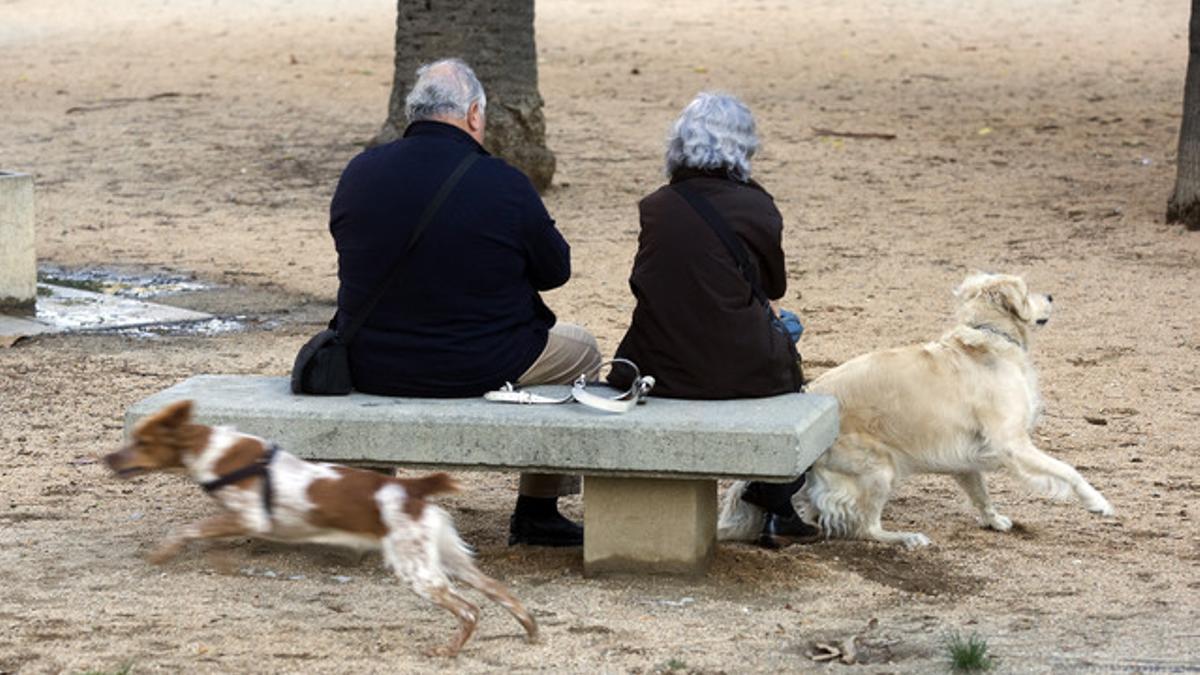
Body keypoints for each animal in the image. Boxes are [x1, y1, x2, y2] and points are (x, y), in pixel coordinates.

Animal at [108, 398, 540, 653]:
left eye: (142, 442)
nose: (107, 459)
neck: (210, 450)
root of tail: (410, 487)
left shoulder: (250, 516)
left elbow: (189, 529)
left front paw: (164, 552)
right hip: (450, 559)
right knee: (502, 592)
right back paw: (531, 630)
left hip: (416, 570)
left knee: (469, 609)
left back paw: (447, 651)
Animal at [710, 271, 1113, 547]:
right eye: (1028, 291)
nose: (1051, 295)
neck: (989, 336)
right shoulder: (1012, 444)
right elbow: (1069, 471)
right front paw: (1098, 503)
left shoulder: (965, 457)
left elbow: (980, 492)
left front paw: (993, 519)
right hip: (879, 471)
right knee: (865, 528)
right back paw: (906, 538)